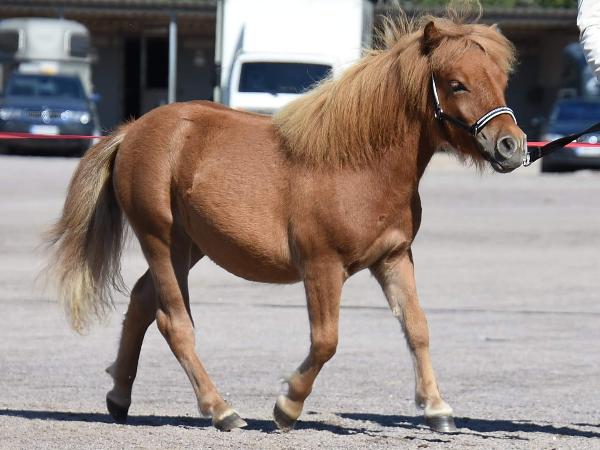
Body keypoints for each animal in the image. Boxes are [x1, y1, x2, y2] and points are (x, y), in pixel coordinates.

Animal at [46, 12, 525, 433]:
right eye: (457, 83)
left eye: (501, 81)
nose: (511, 146)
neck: (358, 164)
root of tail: (133, 130)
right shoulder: (322, 266)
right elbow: (326, 340)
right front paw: (287, 406)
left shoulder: (393, 258)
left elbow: (417, 328)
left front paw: (437, 408)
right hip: (161, 241)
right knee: (173, 323)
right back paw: (221, 410)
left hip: (190, 246)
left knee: (144, 301)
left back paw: (119, 397)